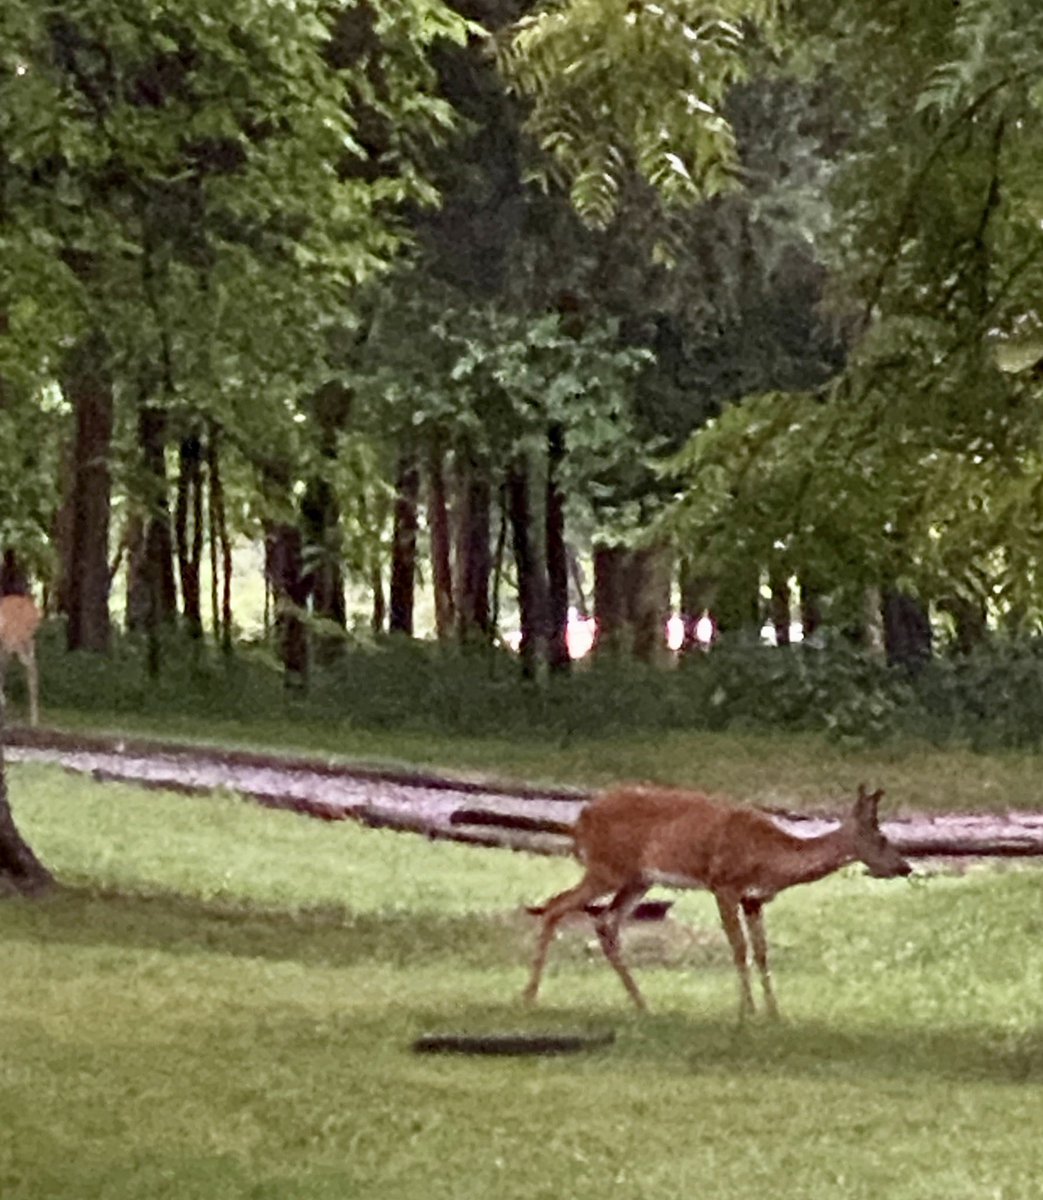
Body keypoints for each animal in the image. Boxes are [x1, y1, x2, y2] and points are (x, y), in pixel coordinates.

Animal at [525, 787, 907, 1022]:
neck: (770, 857)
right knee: (557, 905)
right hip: (608, 868)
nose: (905, 866)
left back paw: (643, 1005)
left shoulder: (753, 900)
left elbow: (761, 951)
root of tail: (580, 819)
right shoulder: (724, 885)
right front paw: (747, 1011)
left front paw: (774, 1013)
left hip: (638, 879)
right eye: (881, 838)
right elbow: (739, 948)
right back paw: (530, 996)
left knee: (605, 922)